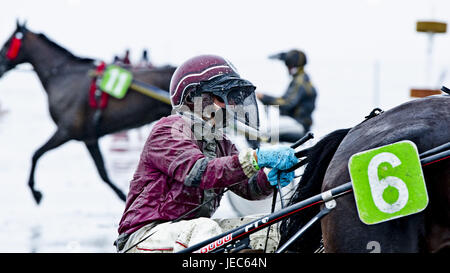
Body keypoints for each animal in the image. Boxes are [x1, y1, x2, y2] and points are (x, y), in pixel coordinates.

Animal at [0, 21, 176, 204]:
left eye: (6, 44)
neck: (63, 76)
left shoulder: (66, 131)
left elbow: (36, 154)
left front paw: (35, 192)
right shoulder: (89, 138)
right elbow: (103, 173)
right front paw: (123, 196)